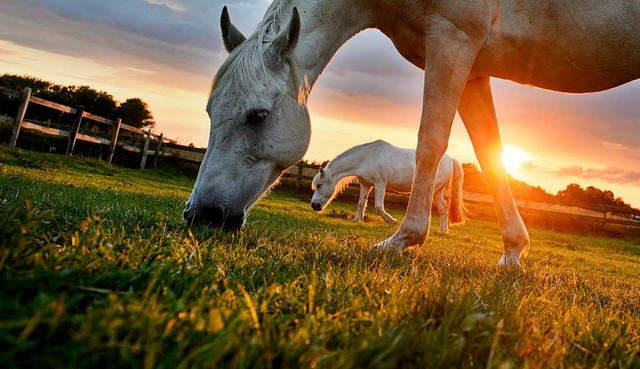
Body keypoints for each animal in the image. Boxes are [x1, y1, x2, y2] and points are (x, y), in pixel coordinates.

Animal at [308, 139, 464, 231]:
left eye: (319, 185)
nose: (314, 206)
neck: (366, 157)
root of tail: (451, 159)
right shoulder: (365, 185)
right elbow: (361, 203)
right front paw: (357, 219)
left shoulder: (380, 184)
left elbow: (378, 206)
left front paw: (391, 221)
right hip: (438, 191)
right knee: (443, 207)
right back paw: (443, 230)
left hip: (433, 190)